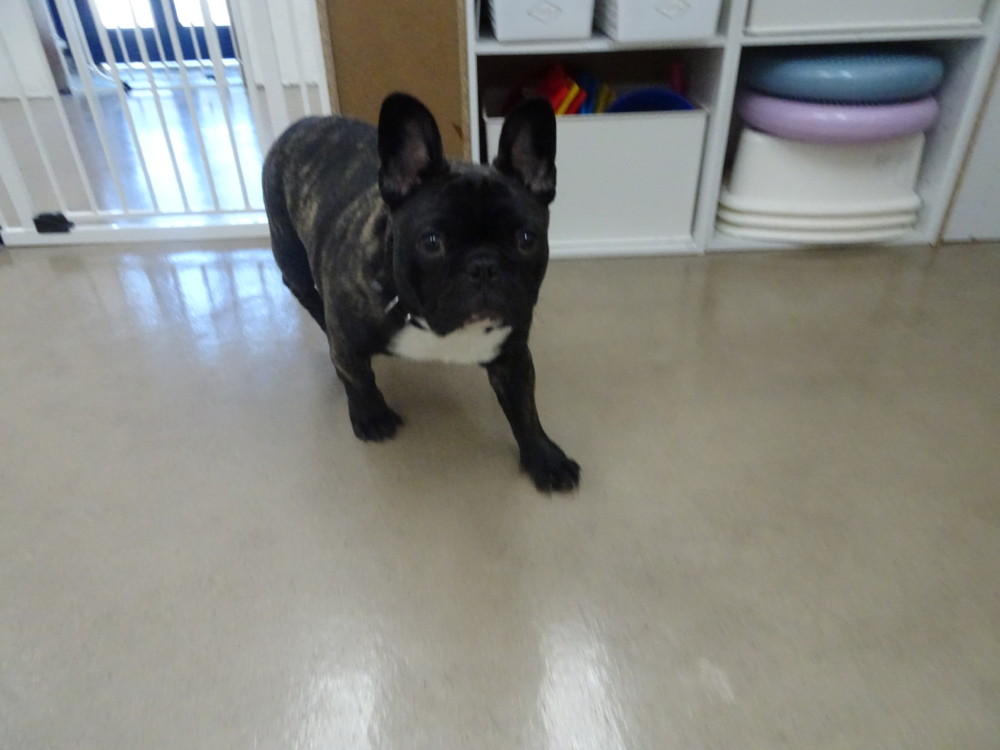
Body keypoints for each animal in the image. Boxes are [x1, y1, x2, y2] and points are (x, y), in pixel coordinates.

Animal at [263, 93, 579, 492]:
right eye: (431, 242)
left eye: (526, 239)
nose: (484, 266)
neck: (427, 321)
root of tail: (305, 123)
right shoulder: (349, 340)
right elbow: (359, 378)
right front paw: (371, 415)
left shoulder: (513, 356)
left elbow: (525, 408)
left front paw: (544, 457)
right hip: (291, 258)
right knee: (310, 300)